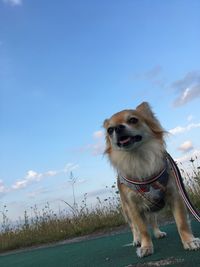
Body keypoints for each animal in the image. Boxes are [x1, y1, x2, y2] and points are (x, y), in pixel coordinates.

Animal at [103, 102, 200, 258]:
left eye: (133, 120)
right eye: (110, 130)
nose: (117, 128)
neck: (138, 159)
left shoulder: (175, 196)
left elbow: (182, 222)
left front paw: (189, 241)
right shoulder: (133, 207)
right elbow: (142, 229)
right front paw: (146, 246)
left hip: (152, 204)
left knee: (153, 219)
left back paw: (158, 232)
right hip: (127, 210)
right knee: (134, 227)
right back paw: (136, 240)